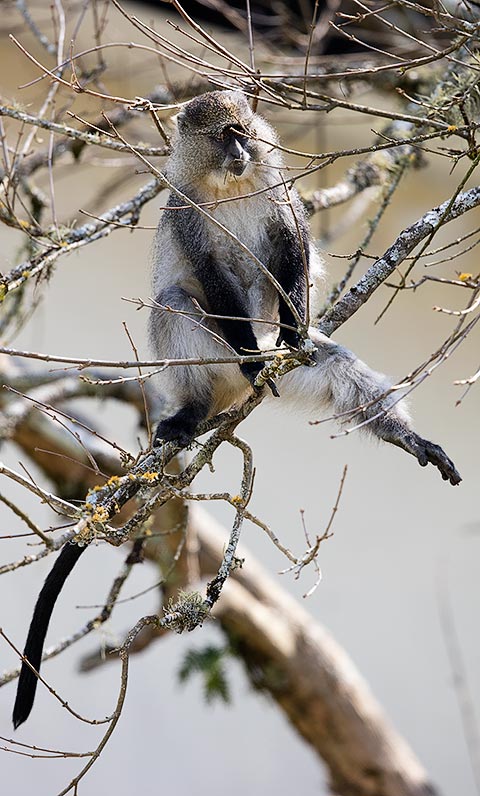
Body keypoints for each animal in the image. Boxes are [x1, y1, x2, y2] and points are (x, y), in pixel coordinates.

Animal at [12, 89, 461, 731]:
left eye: (241, 131)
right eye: (222, 136)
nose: (242, 152)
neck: (231, 184)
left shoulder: (279, 195)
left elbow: (291, 250)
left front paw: (295, 325)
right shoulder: (188, 212)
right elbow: (209, 275)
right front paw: (249, 357)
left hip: (296, 364)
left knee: (331, 366)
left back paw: (392, 429)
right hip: (208, 357)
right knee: (177, 302)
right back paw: (203, 404)